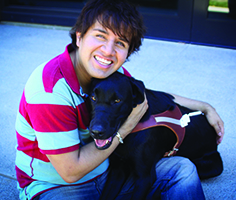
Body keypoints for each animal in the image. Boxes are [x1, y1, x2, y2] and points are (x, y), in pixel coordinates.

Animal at [88, 72, 223, 200]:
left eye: (117, 101)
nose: (96, 132)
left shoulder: (144, 177)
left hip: (212, 166)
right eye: (93, 97)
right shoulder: (117, 171)